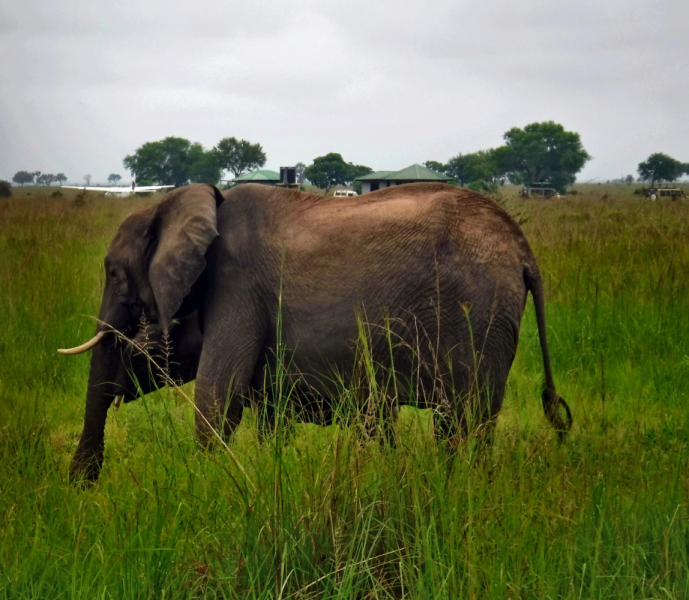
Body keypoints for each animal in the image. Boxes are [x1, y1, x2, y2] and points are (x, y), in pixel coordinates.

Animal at [61, 183, 572, 482]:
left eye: (113, 273)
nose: (82, 482)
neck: (175, 205)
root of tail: (523, 250)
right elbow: (268, 419)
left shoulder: (236, 287)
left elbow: (217, 399)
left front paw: (211, 486)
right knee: (456, 425)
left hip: (479, 313)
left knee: (468, 420)